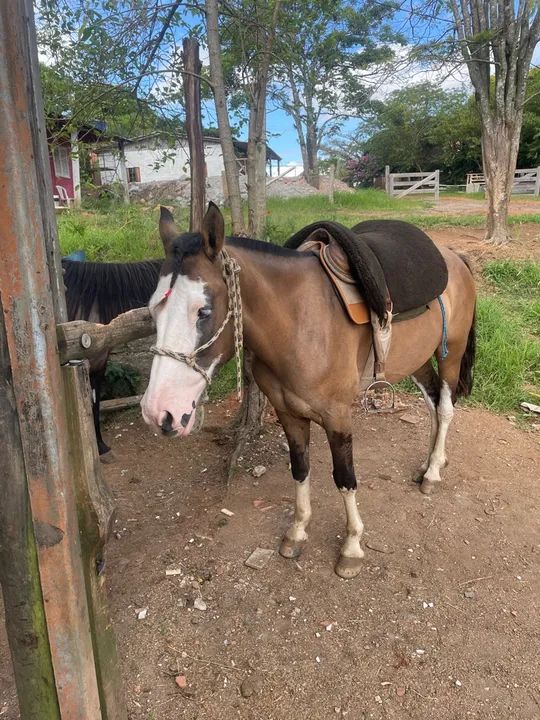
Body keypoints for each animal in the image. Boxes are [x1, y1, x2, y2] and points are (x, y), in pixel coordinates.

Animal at [140, 203, 476, 579]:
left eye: (204, 310)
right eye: (153, 309)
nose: (158, 413)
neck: (298, 324)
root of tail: (455, 258)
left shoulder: (338, 417)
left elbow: (345, 478)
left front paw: (352, 547)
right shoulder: (288, 413)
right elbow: (300, 470)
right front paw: (298, 531)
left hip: (451, 354)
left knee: (445, 408)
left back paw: (433, 472)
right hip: (418, 360)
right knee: (433, 402)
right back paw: (429, 462)